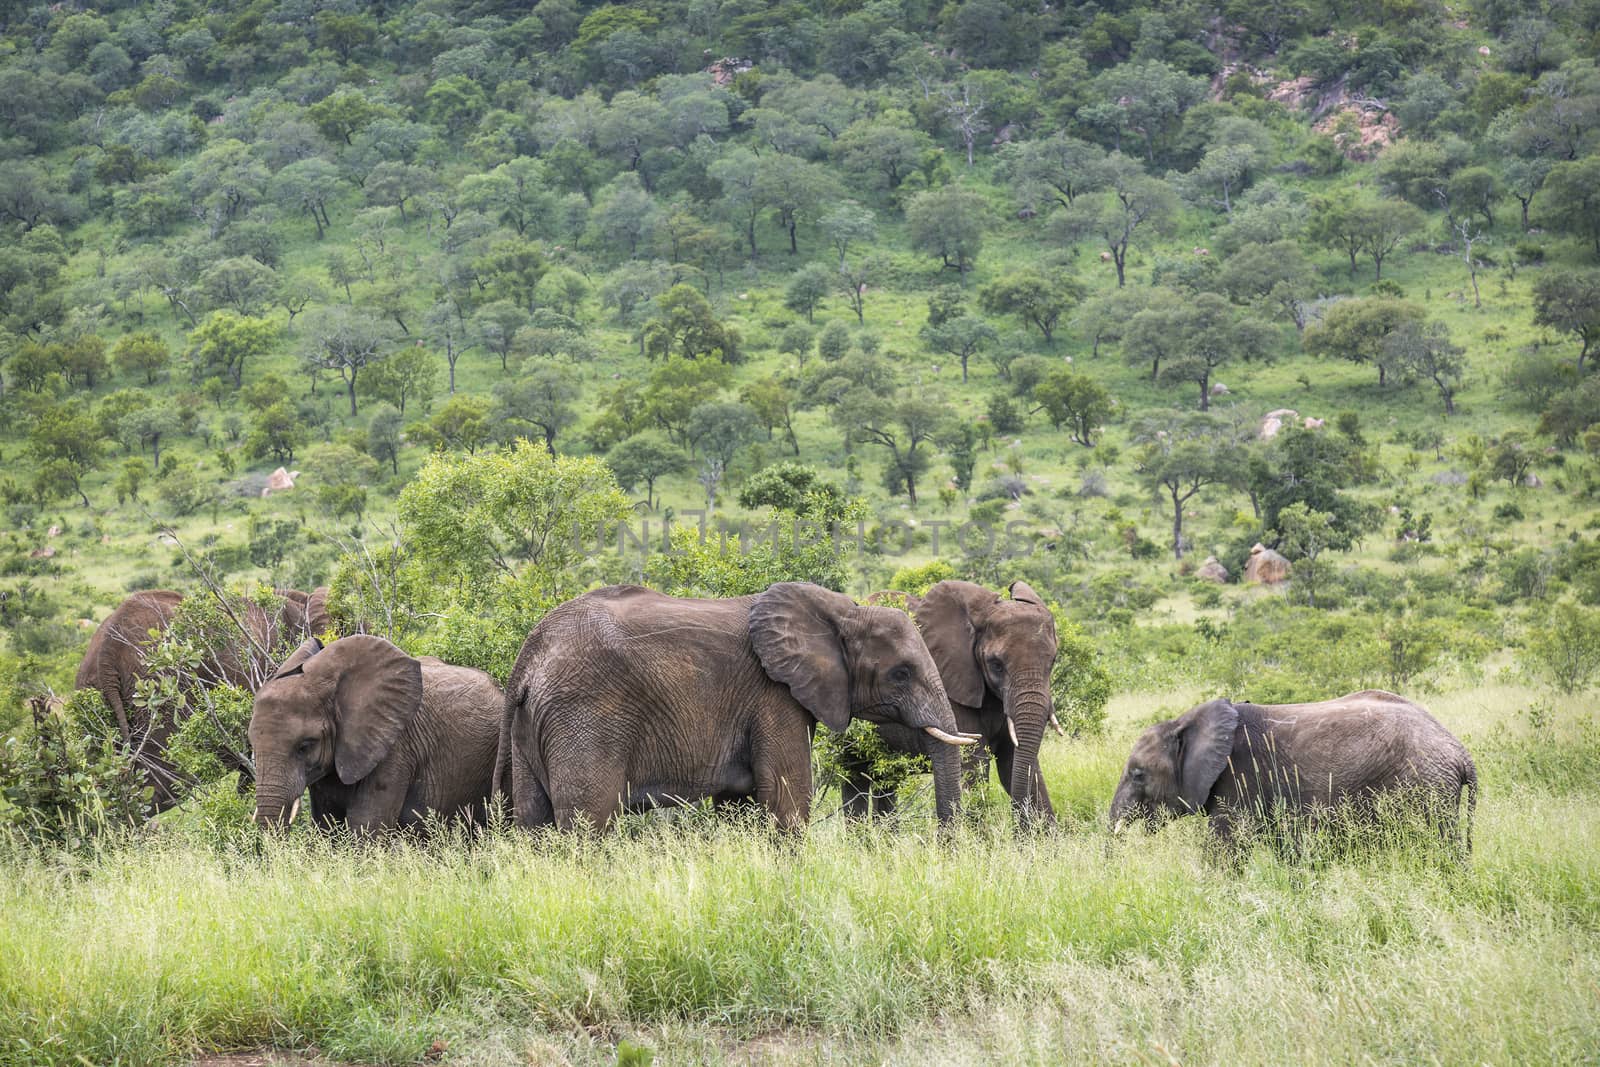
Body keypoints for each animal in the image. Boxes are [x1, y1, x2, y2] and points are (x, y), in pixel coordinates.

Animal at [502, 585, 972, 831]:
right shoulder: (774, 697)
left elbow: (738, 806)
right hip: (584, 717)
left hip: (533, 728)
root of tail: (529, 656)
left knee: (534, 823)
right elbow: (786, 801)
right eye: (901, 674)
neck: (845, 611)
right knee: (587, 824)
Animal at [838, 579, 1062, 831]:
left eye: (1053, 661)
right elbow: (974, 767)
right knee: (854, 775)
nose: (1019, 829)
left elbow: (1013, 763)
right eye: (996, 664)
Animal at [1113, 687, 1472, 857]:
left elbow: (1225, 849)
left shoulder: (1238, 778)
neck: (1186, 721)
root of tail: (1461, 752)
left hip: (1426, 788)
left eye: (1138, 774)